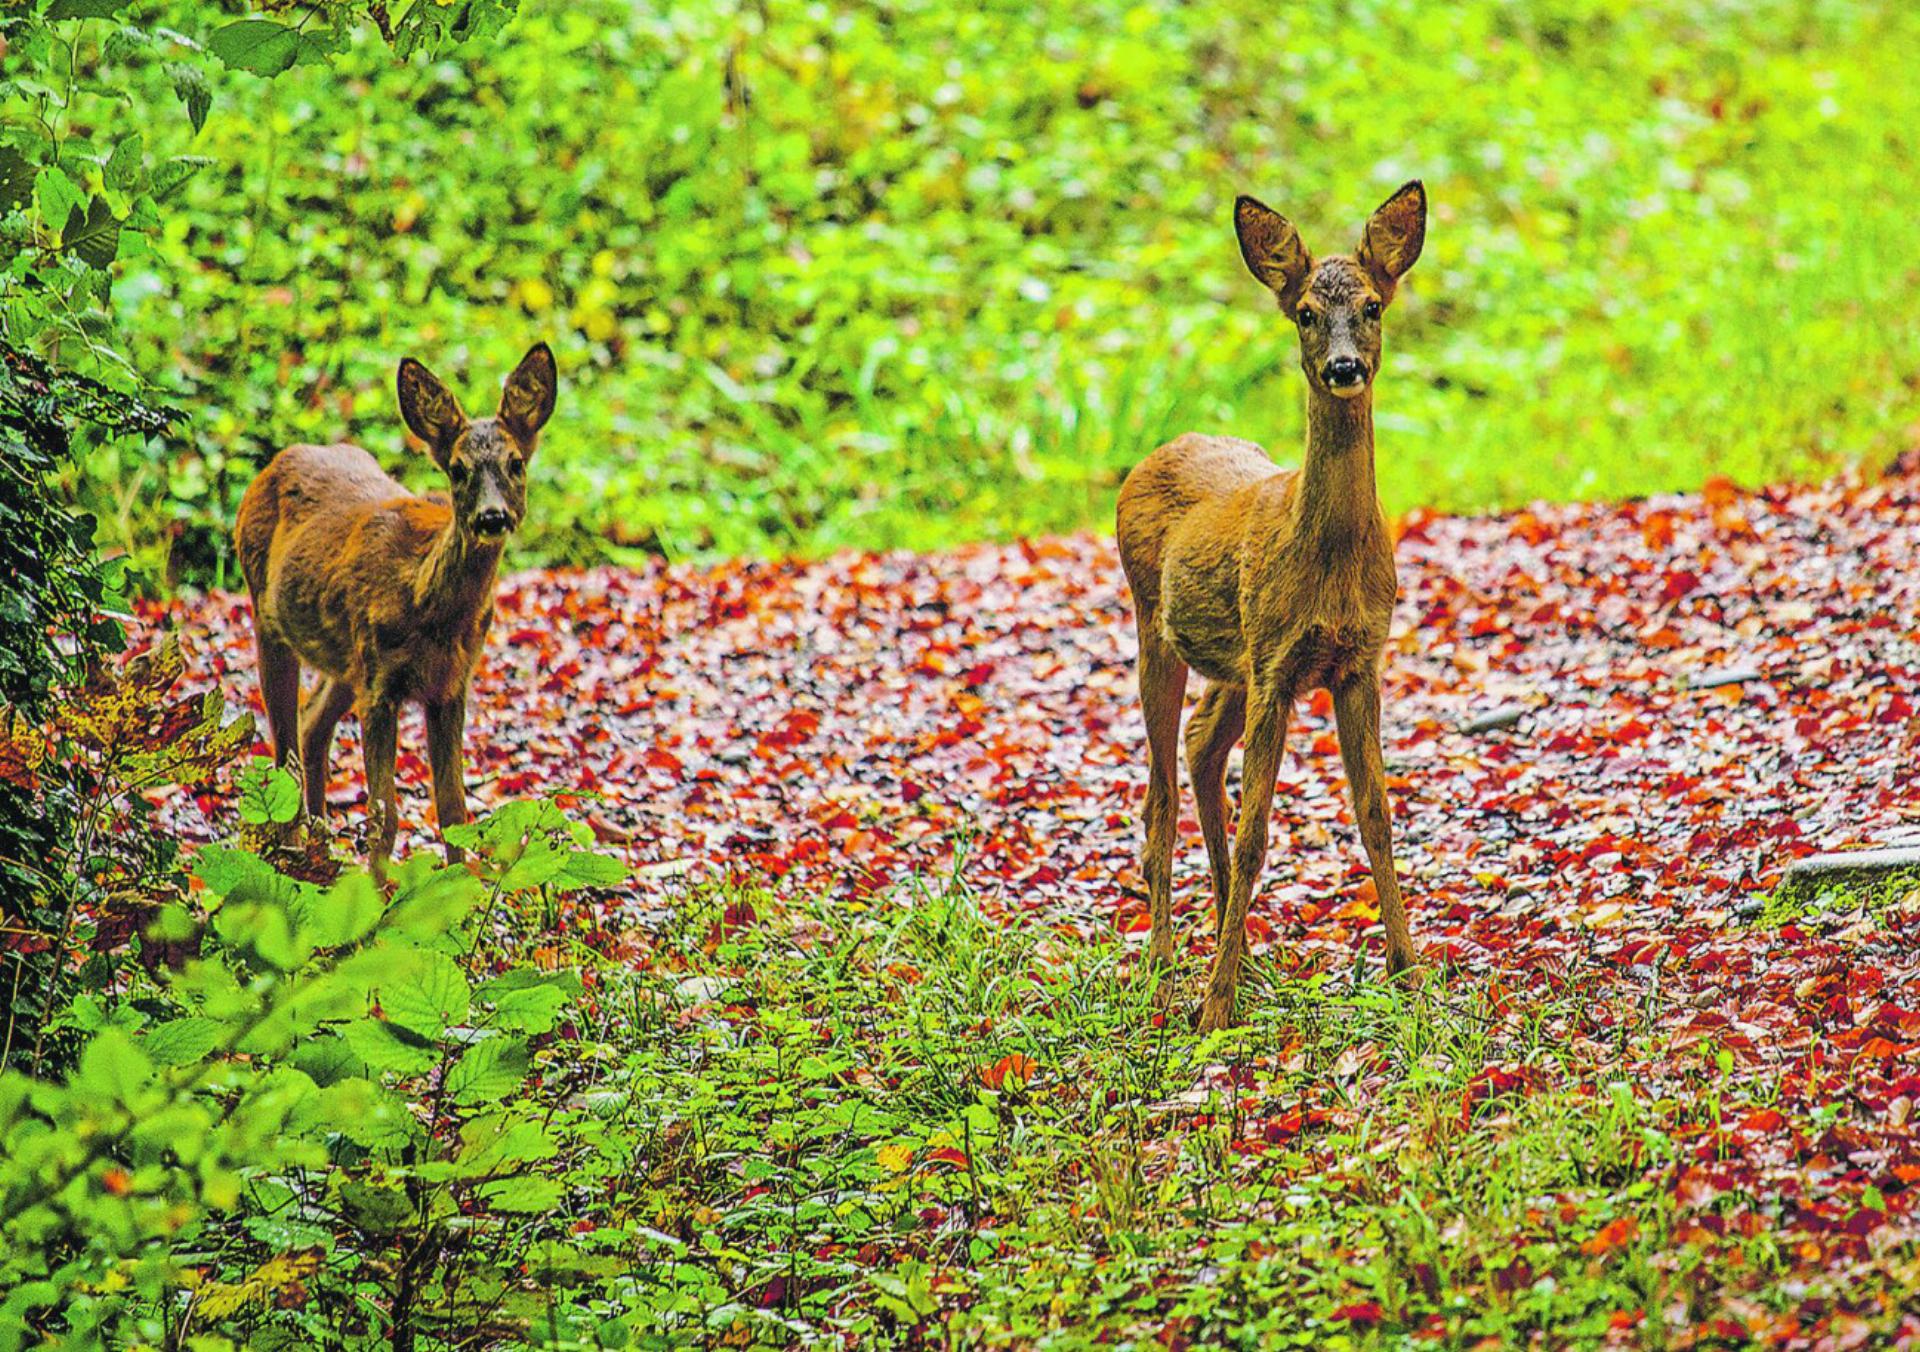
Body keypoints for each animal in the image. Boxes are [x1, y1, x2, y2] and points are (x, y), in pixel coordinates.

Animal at [233, 343, 560, 883]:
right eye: (457, 469)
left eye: (516, 463)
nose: (492, 516)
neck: (430, 610)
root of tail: (276, 461)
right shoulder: (381, 687)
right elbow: (383, 812)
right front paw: (379, 896)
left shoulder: (450, 685)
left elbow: (454, 807)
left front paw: (461, 893)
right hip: (269, 616)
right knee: (284, 750)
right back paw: (294, 855)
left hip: (347, 661)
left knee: (312, 724)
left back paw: (324, 852)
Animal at [1113, 176, 1428, 1021]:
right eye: (1306, 313)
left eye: (1373, 306)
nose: (1346, 367)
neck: (1331, 559)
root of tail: (1154, 454)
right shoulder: (1280, 664)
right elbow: (1258, 833)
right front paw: (1214, 1008)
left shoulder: (1356, 661)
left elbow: (1377, 815)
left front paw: (1410, 972)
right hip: (1157, 629)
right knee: (1158, 796)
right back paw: (1163, 962)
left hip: (1235, 662)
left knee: (1198, 747)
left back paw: (1243, 950)